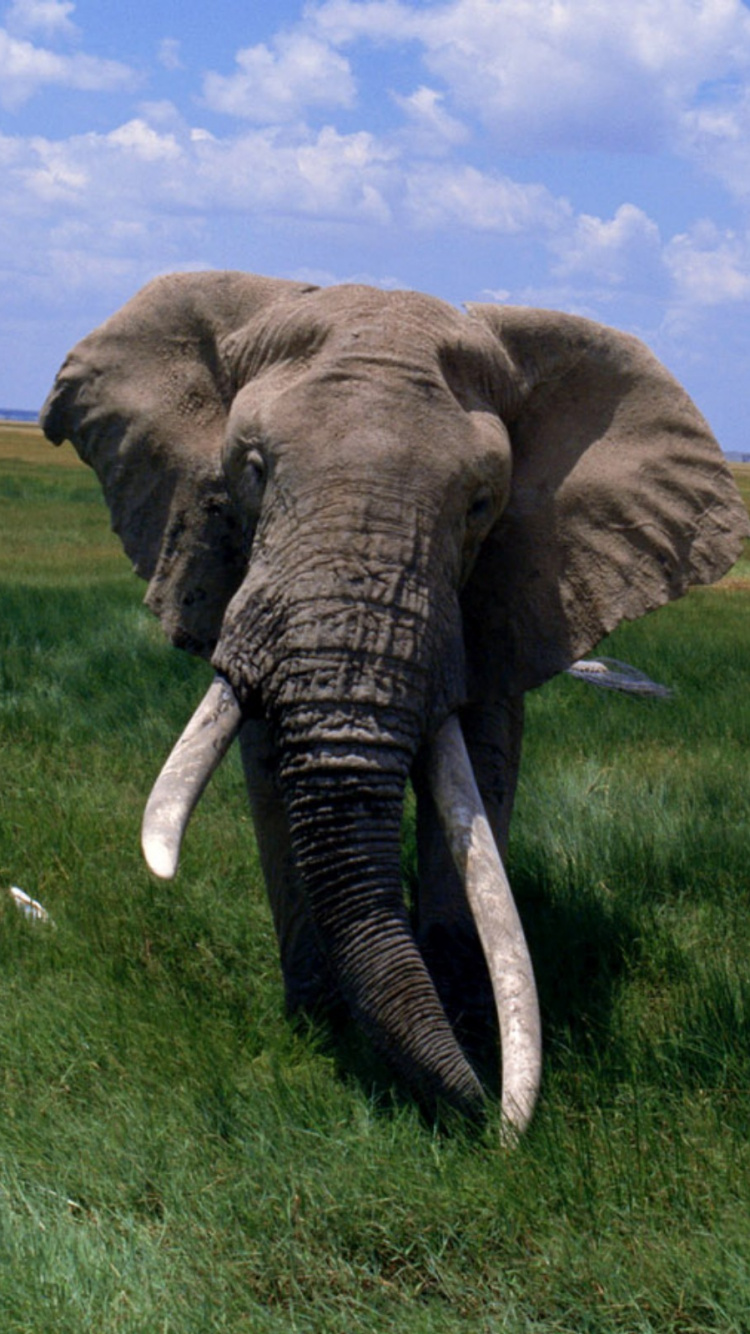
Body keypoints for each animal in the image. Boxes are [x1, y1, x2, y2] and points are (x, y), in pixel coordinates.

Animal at [40, 272, 748, 1135]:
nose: (491, 1120)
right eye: (252, 469)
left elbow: (481, 769)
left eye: (480, 504)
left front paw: (468, 1023)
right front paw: (321, 1026)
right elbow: (267, 769)